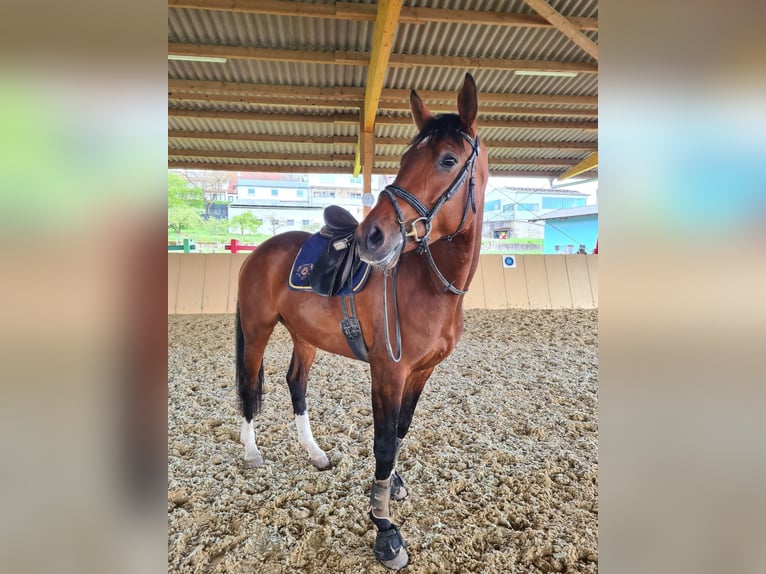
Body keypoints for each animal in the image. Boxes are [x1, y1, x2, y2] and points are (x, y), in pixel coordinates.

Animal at [234, 73, 488, 572]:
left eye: (448, 159)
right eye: (405, 158)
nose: (373, 236)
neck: (428, 283)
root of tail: (259, 251)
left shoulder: (421, 372)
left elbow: (402, 430)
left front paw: (395, 487)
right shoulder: (388, 371)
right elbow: (384, 441)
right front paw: (384, 528)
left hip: (305, 337)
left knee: (296, 382)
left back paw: (314, 453)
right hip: (256, 332)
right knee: (251, 387)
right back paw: (252, 452)